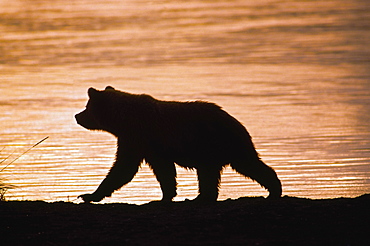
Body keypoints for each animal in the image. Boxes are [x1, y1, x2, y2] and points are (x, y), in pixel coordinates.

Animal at [76, 85, 280, 203]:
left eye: (87, 107)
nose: (77, 116)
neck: (123, 121)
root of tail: (236, 122)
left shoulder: (139, 137)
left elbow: (124, 168)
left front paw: (88, 195)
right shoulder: (144, 143)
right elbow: (160, 170)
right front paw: (166, 195)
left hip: (211, 143)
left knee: (224, 169)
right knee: (243, 165)